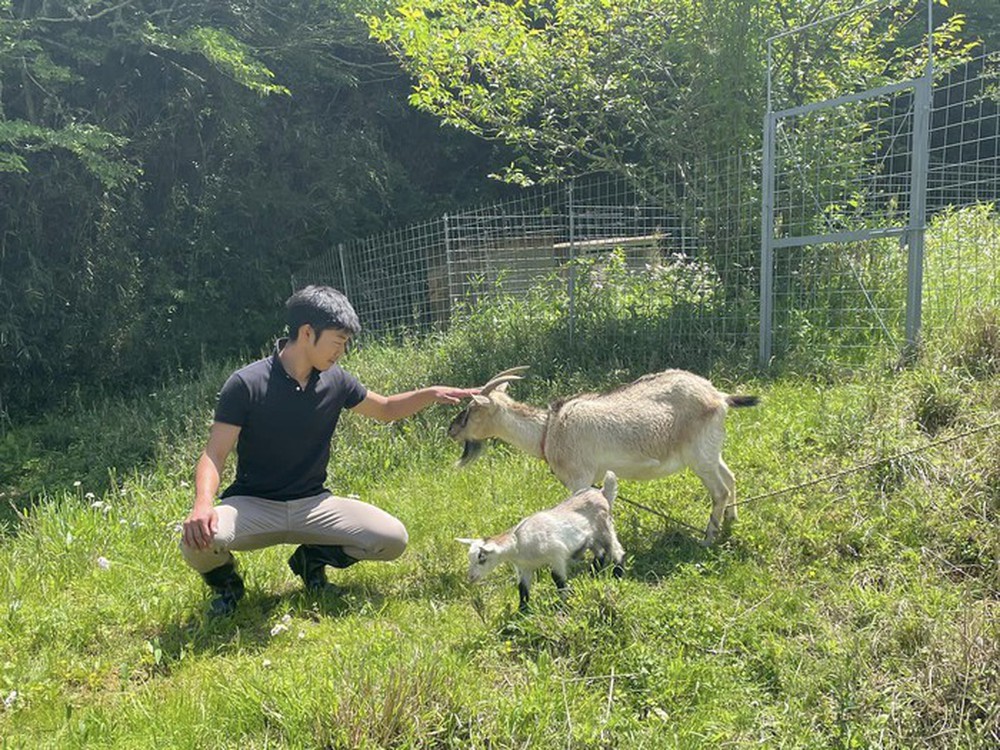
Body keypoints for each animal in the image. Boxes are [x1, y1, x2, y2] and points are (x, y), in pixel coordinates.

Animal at [448, 368, 756, 544]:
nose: (451, 429)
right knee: (730, 478)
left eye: (470, 410)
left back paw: (708, 538)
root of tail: (719, 397)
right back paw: (732, 521)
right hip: (711, 451)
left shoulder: (579, 478)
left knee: (719, 491)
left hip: (699, 457)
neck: (548, 431)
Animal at [458, 476, 620, 612]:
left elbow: (557, 578)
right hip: (592, 538)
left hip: (604, 527)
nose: (471, 577)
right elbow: (522, 588)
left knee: (616, 550)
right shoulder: (523, 568)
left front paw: (563, 602)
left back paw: (617, 574)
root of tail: (602, 493)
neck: (518, 545)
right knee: (600, 553)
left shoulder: (556, 554)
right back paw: (594, 574)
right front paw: (522, 612)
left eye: (482, 558)